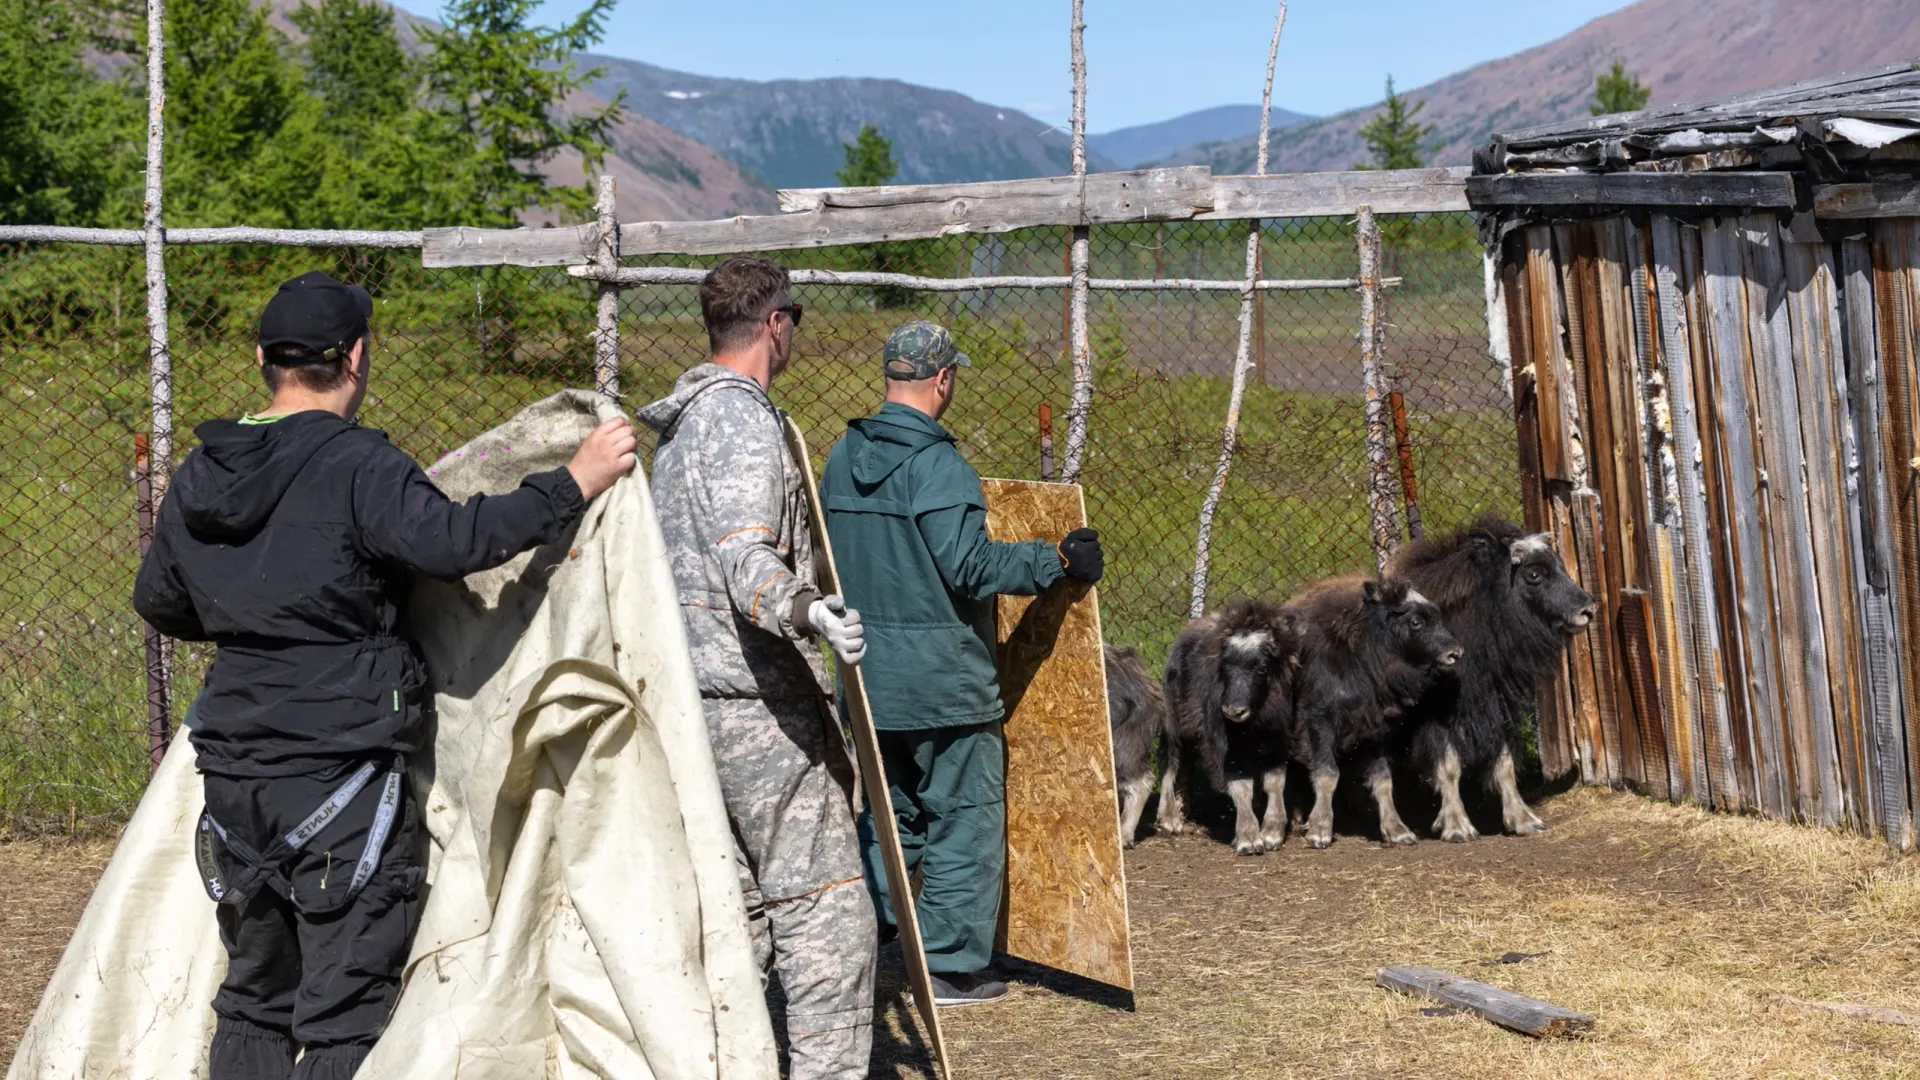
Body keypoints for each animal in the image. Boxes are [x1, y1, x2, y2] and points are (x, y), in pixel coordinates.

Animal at [1152, 595, 1305, 849]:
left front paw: (1272, 833)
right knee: (1170, 762)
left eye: (1262, 667)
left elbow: (1275, 782)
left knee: (1186, 767)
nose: (1233, 711)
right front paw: (1249, 839)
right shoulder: (1224, 748)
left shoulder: (1278, 742)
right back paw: (1170, 820)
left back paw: (1184, 812)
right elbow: (1240, 786)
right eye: (1225, 665)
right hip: (1174, 722)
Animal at [1290, 576, 1466, 845]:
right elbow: (1327, 774)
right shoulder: (1319, 723)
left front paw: (1398, 831)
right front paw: (1320, 831)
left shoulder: (1374, 731)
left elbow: (1383, 780)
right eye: (1416, 621)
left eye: (1437, 616)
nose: (1455, 653)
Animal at [1390, 515, 1597, 841]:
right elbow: (1449, 765)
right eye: (1534, 574)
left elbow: (1505, 763)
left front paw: (1524, 820)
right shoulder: (1436, 718)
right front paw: (1457, 826)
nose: (1587, 610)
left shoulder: (1498, 707)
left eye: (1559, 565)